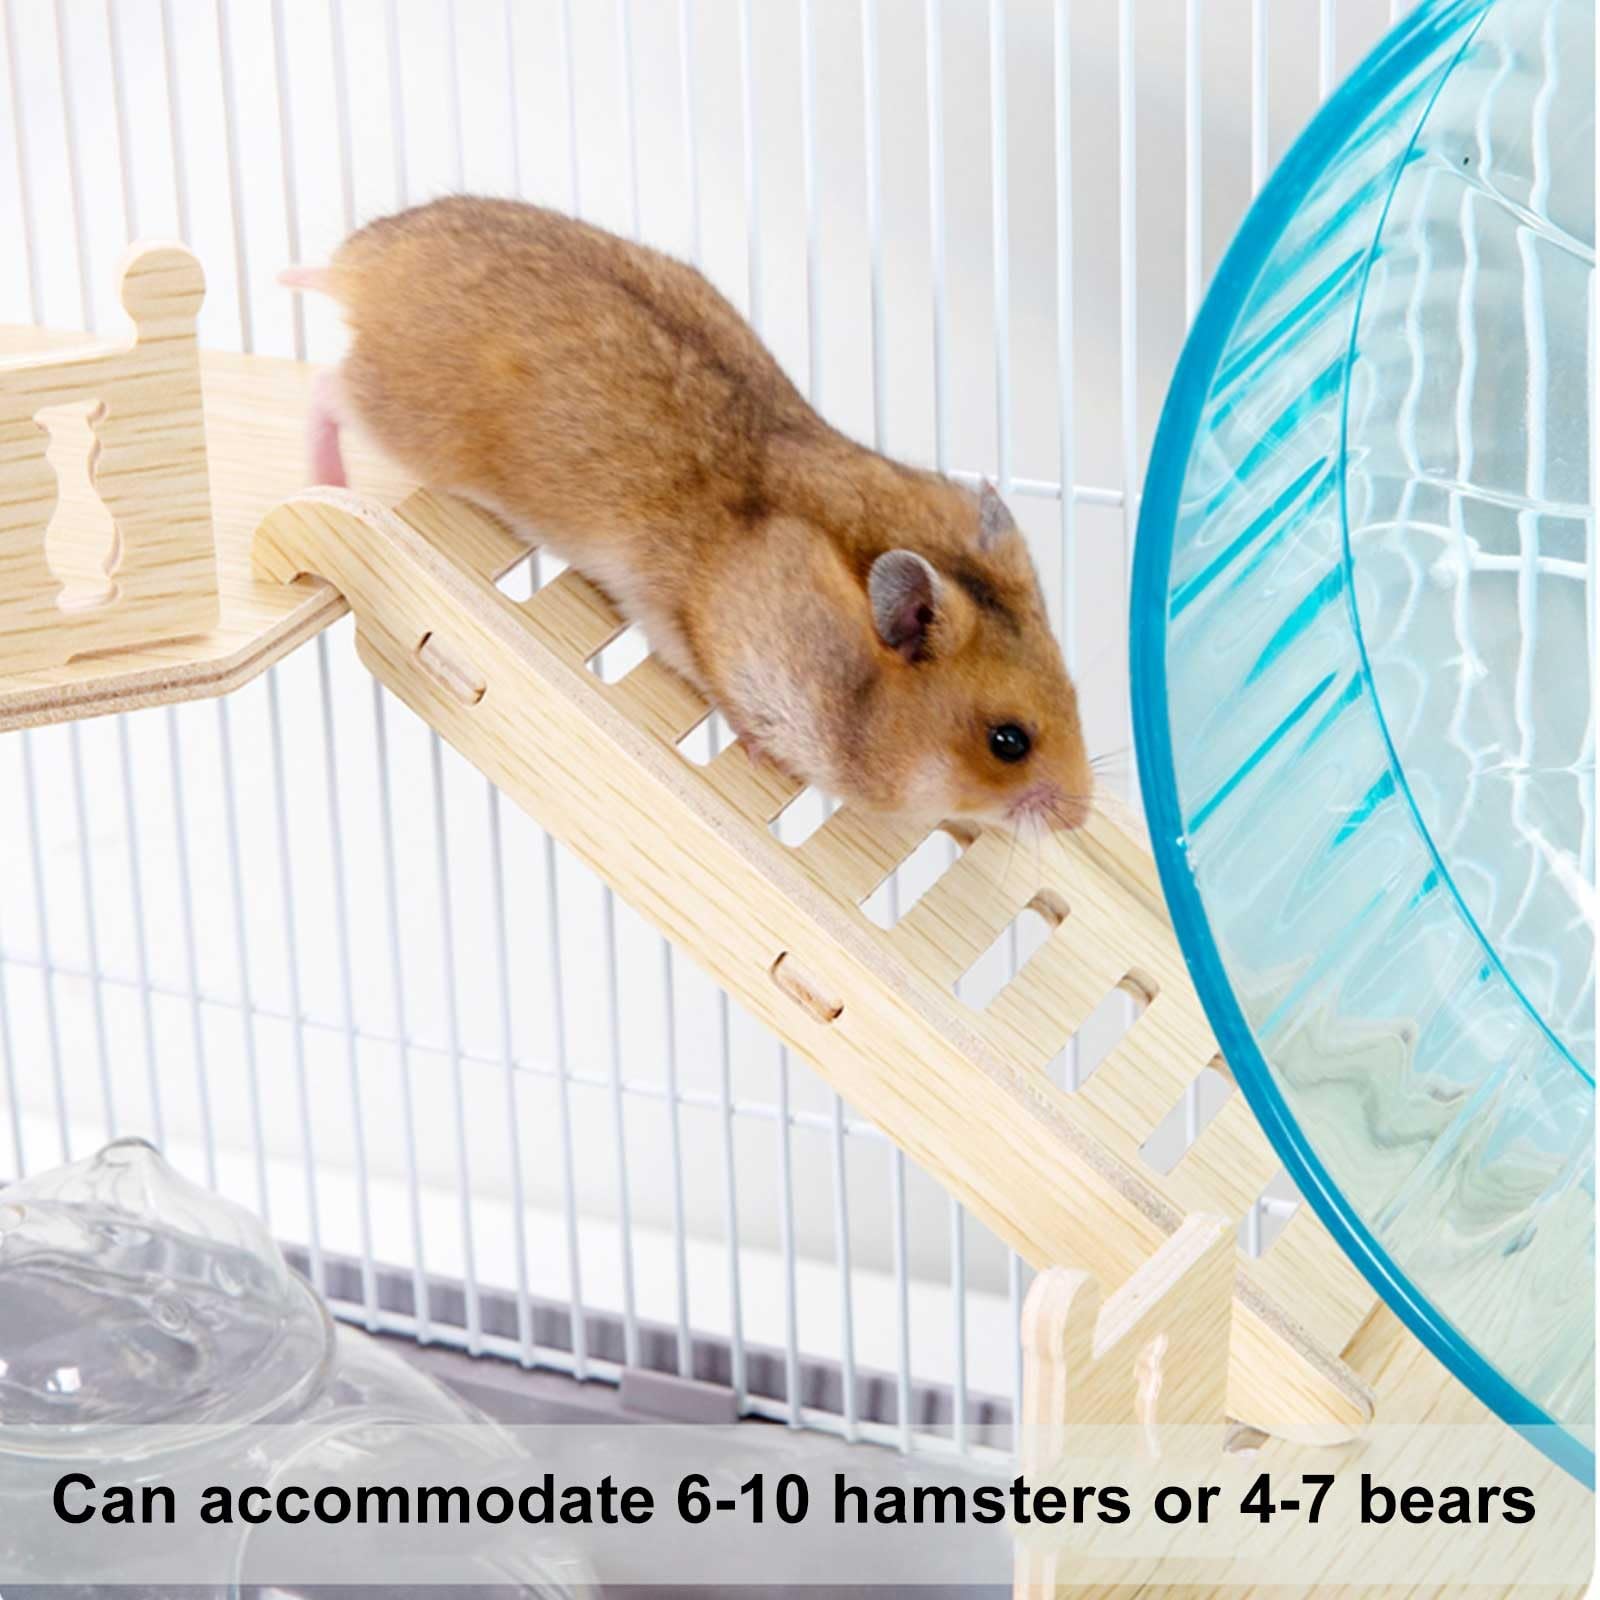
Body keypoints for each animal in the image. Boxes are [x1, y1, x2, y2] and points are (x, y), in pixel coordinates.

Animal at [284, 196, 1093, 832]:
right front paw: (765, 758)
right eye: (1009, 742)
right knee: (323, 386)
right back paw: (323, 465)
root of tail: (365, 261)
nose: (1080, 817)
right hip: (401, 415)